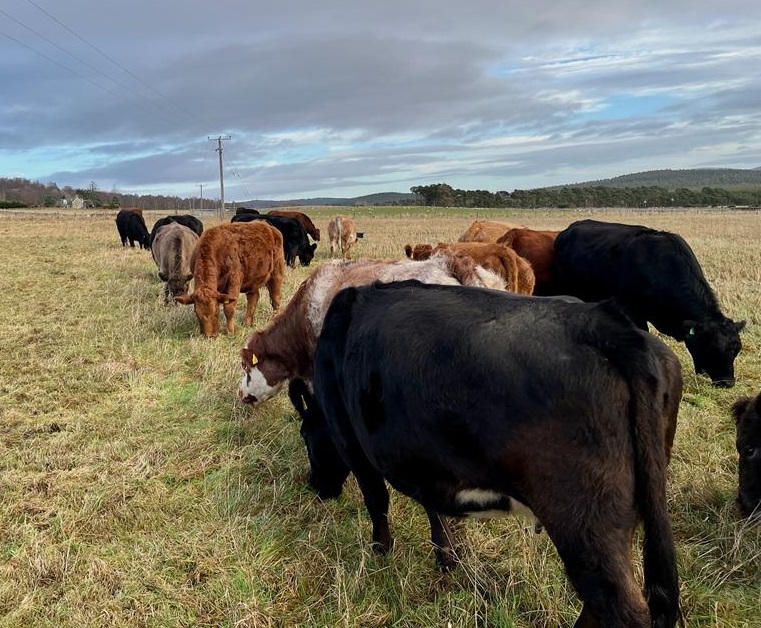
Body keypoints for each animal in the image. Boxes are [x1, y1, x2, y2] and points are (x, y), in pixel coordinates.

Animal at [302, 280, 684, 628]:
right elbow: (433, 509)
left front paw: (380, 552)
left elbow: (377, 500)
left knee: (619, 608)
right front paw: (446, 558)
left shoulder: (352, 442)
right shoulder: (427, 461)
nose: (315, 486)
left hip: (585, 522)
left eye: (306, 436)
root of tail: (605, 322)